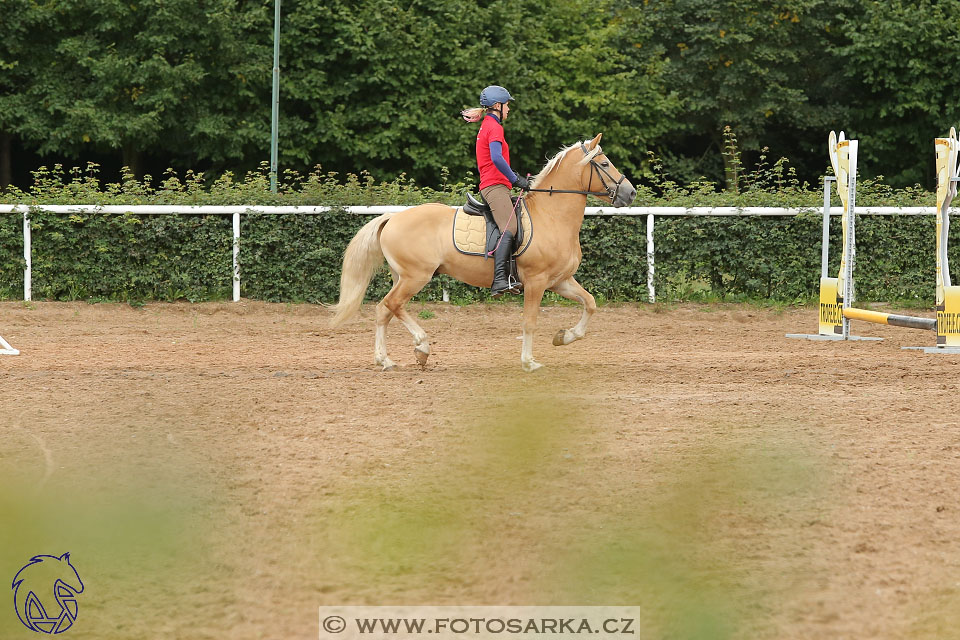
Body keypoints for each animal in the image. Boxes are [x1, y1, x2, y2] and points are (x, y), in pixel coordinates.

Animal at [330, 133, 636, 372]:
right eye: (605, 163)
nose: (630, 193)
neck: (551, 215)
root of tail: (392, 217)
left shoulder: (560, 281)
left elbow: (590, 303)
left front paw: (564, 336)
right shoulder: (536, 282)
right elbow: (530, 322)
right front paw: (529, 362)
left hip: (402, 277)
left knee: (384, 310)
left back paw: (386, 360)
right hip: (415, 277)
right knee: (392, 305)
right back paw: (422, 347)